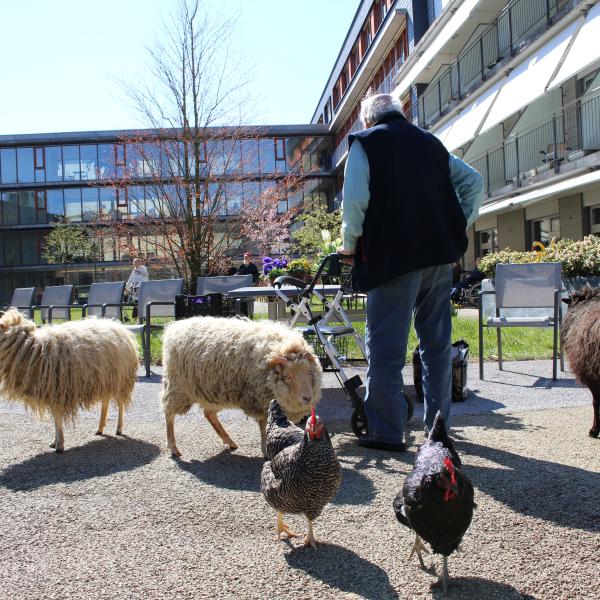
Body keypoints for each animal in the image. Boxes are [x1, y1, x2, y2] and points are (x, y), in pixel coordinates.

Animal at [0, 308, 138, 452]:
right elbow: (55, 420)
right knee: (105, 402)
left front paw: (59, 445)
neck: (33, 348)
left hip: (120, 379)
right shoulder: (52, 393)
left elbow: (57, 418)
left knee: (121, 404)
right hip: (105, 379)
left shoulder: (57, 391)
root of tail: (120, 327)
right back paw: (100, 428)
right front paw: (55, 442)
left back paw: (119, 428)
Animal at [158, 316, 318, 458]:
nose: (307, 398)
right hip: (178, 386)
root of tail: (175, 327)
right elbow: (264, 427)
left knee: (209, 414)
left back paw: (229, 441)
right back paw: (173, 447)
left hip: (211, 390)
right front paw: (266, 449)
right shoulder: (261, 401)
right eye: (287, 377)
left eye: (309, 372)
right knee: (169, 412)